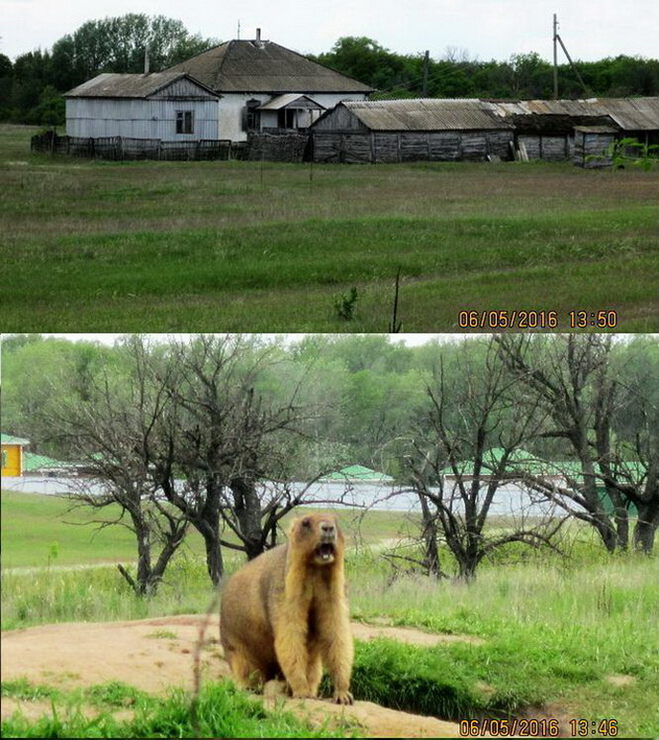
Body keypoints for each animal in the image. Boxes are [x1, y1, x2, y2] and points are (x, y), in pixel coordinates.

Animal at [219, 512, 354, 704]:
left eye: (335, 520)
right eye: (306, 522)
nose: (328, 527)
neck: (315, 571)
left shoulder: (334, 593)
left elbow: (336, 631)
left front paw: (343, 694)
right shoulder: (286, 590)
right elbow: (290, 633)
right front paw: (302, 691)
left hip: (314, 664)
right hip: (237, 649)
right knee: (248, 672)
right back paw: (250, 687)